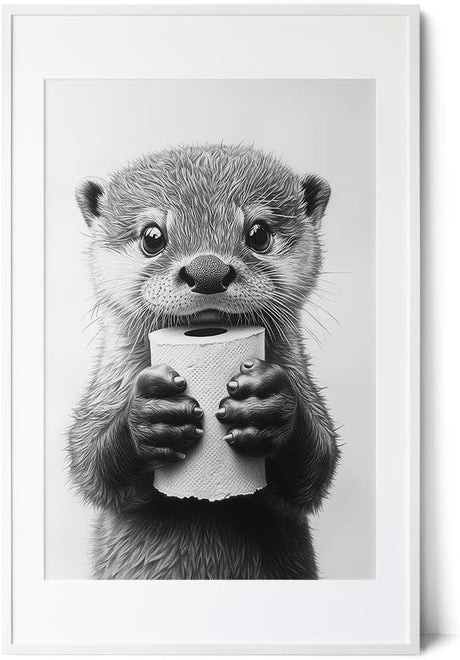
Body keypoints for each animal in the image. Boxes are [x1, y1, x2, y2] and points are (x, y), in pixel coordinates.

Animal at [68, 144, 339, 579]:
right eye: (152, 237)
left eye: (259, 234)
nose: (207, 270)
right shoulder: (102, 398)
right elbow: (89, 465)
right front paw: (151, 418)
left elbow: (317, 468)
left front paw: (268, 407)